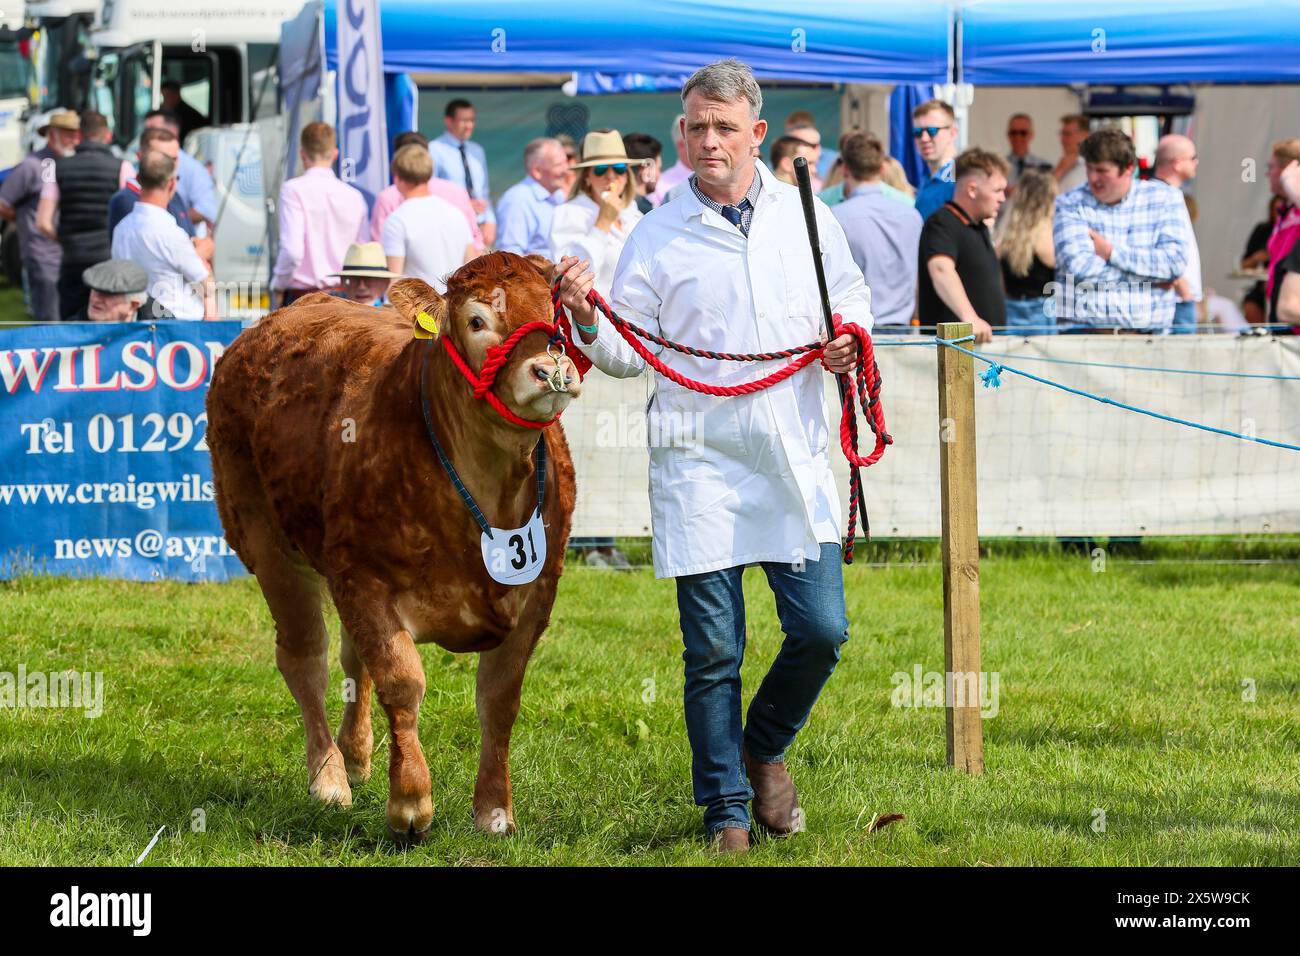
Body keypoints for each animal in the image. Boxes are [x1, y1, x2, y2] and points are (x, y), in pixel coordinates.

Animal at [205, 251, 582, 842]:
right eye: (476, 320)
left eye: (554, 311)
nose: (552, 371)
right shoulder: (365, 578)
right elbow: (402, 683)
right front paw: (409, 804)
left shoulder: (538, 592)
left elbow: (499, 698)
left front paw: (494, 810)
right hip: (267, 543)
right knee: (305, 657)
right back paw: (329, 777)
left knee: (351, 659)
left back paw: (356, 756)